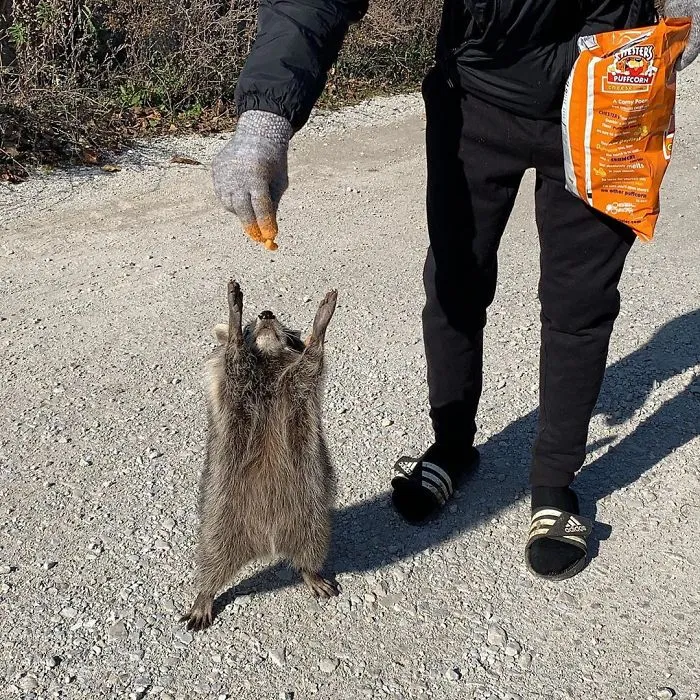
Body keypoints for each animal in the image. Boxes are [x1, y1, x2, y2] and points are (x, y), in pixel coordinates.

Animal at [181, 280, 339, 631]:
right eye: (252, 325)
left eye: (284, 328)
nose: (266, 313)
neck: (267, 360)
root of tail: (269, 542)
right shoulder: (234, 384)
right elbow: (234, 358)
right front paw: (234, 321)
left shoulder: (298, 386)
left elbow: (311, 364)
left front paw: (319, 327)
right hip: (221, 520)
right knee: (211, 558)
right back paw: (205, 592)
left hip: (311, 516)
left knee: (312, 547)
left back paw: (310, 571)